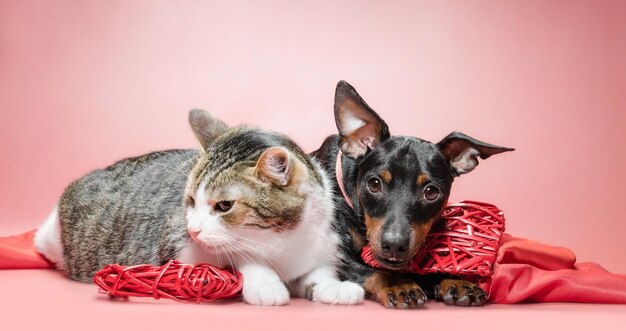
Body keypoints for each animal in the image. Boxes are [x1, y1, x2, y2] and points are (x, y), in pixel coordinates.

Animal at [34, 109, 364, 306]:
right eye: (191, 201)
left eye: (225, 205)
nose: (193, 229)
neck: (282, 242)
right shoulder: (181, 247)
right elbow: (238, 258)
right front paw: (265, 281)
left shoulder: (321, 242)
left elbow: (317, 273)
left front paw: (334, 287)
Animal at [310, 80, 516, 308]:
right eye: (374, 184)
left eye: (431, 192)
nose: (394, 245)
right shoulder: (338, 258)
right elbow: (372, 271)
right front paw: (400, 284)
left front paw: (455, 280)